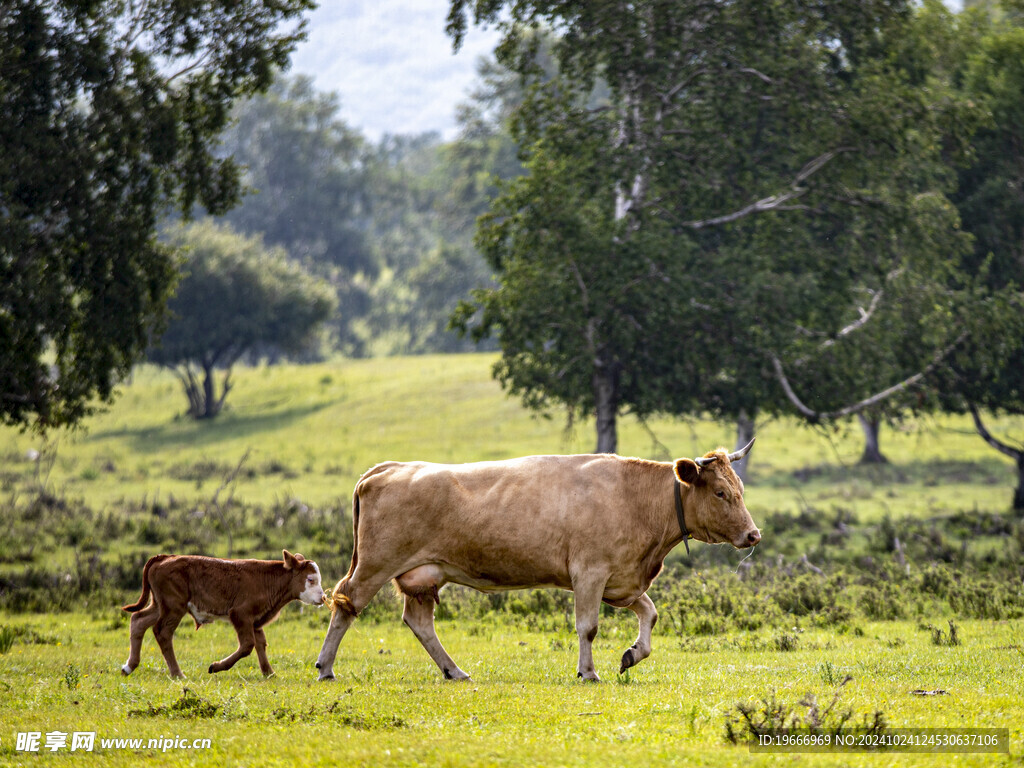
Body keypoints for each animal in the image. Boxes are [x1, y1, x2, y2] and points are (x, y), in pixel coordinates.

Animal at [121, 548, 325, 679]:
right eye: (310, 579)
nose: (323, 597)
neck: (268, 580)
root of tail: (163, 557)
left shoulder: (256, 619)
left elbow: (260, 644)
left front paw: (269, 673)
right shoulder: (241, 614)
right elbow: (247, 645)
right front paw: (216, 667)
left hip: (160, 605)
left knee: (138, 620)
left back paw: (129, 667)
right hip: (173, 607)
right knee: (162, 632)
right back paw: (178, 674)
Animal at [315, 442, 757, 684]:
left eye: (739, 488)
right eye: (719, 492)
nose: (754, 535)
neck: (636, 498)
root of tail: (389, 468)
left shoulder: (623, 579)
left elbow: (650, 614)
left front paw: (632, 654)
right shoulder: (590, 573)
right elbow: (588, 627)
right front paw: (588, 672)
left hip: (424, 576)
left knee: (420, 623)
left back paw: (455, 671)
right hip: (375, 565)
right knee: (346, 604)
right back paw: (325, 667)